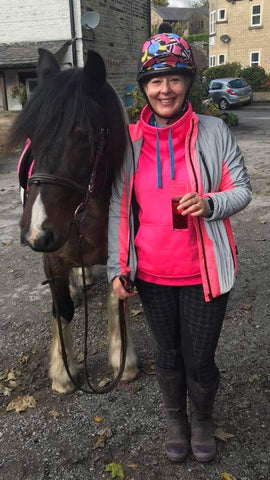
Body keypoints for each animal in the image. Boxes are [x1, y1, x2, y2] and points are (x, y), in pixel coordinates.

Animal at [7, 47, 139, 394]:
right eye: (32, 137)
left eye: (84, 136)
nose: (36, 233)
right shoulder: (51, 258)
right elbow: (62, 308)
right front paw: (62, 372)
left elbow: (117, 299)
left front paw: (123, 359)